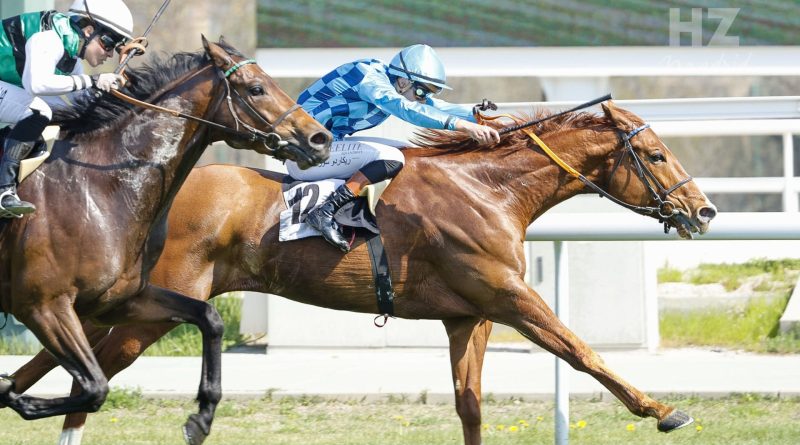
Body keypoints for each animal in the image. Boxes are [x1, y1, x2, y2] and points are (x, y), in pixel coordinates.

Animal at [0, 36, 331, 445]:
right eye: (256, 88)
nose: (321, 138)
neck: (100, 188)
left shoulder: (118, 301)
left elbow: (209, 318)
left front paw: (201, 417)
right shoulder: (43, 306)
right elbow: (94, 387)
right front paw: (13, 393)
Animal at [7, 101, 715, 445]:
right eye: (656, 155)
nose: (703, 210)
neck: (488, 188)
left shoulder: (470, 316)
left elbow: (470, 406)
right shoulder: (509, 295)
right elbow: (581, 351)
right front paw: (661, 410)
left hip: (116, 302)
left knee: (45, 364)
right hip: (146, 311)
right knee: (81, 374)